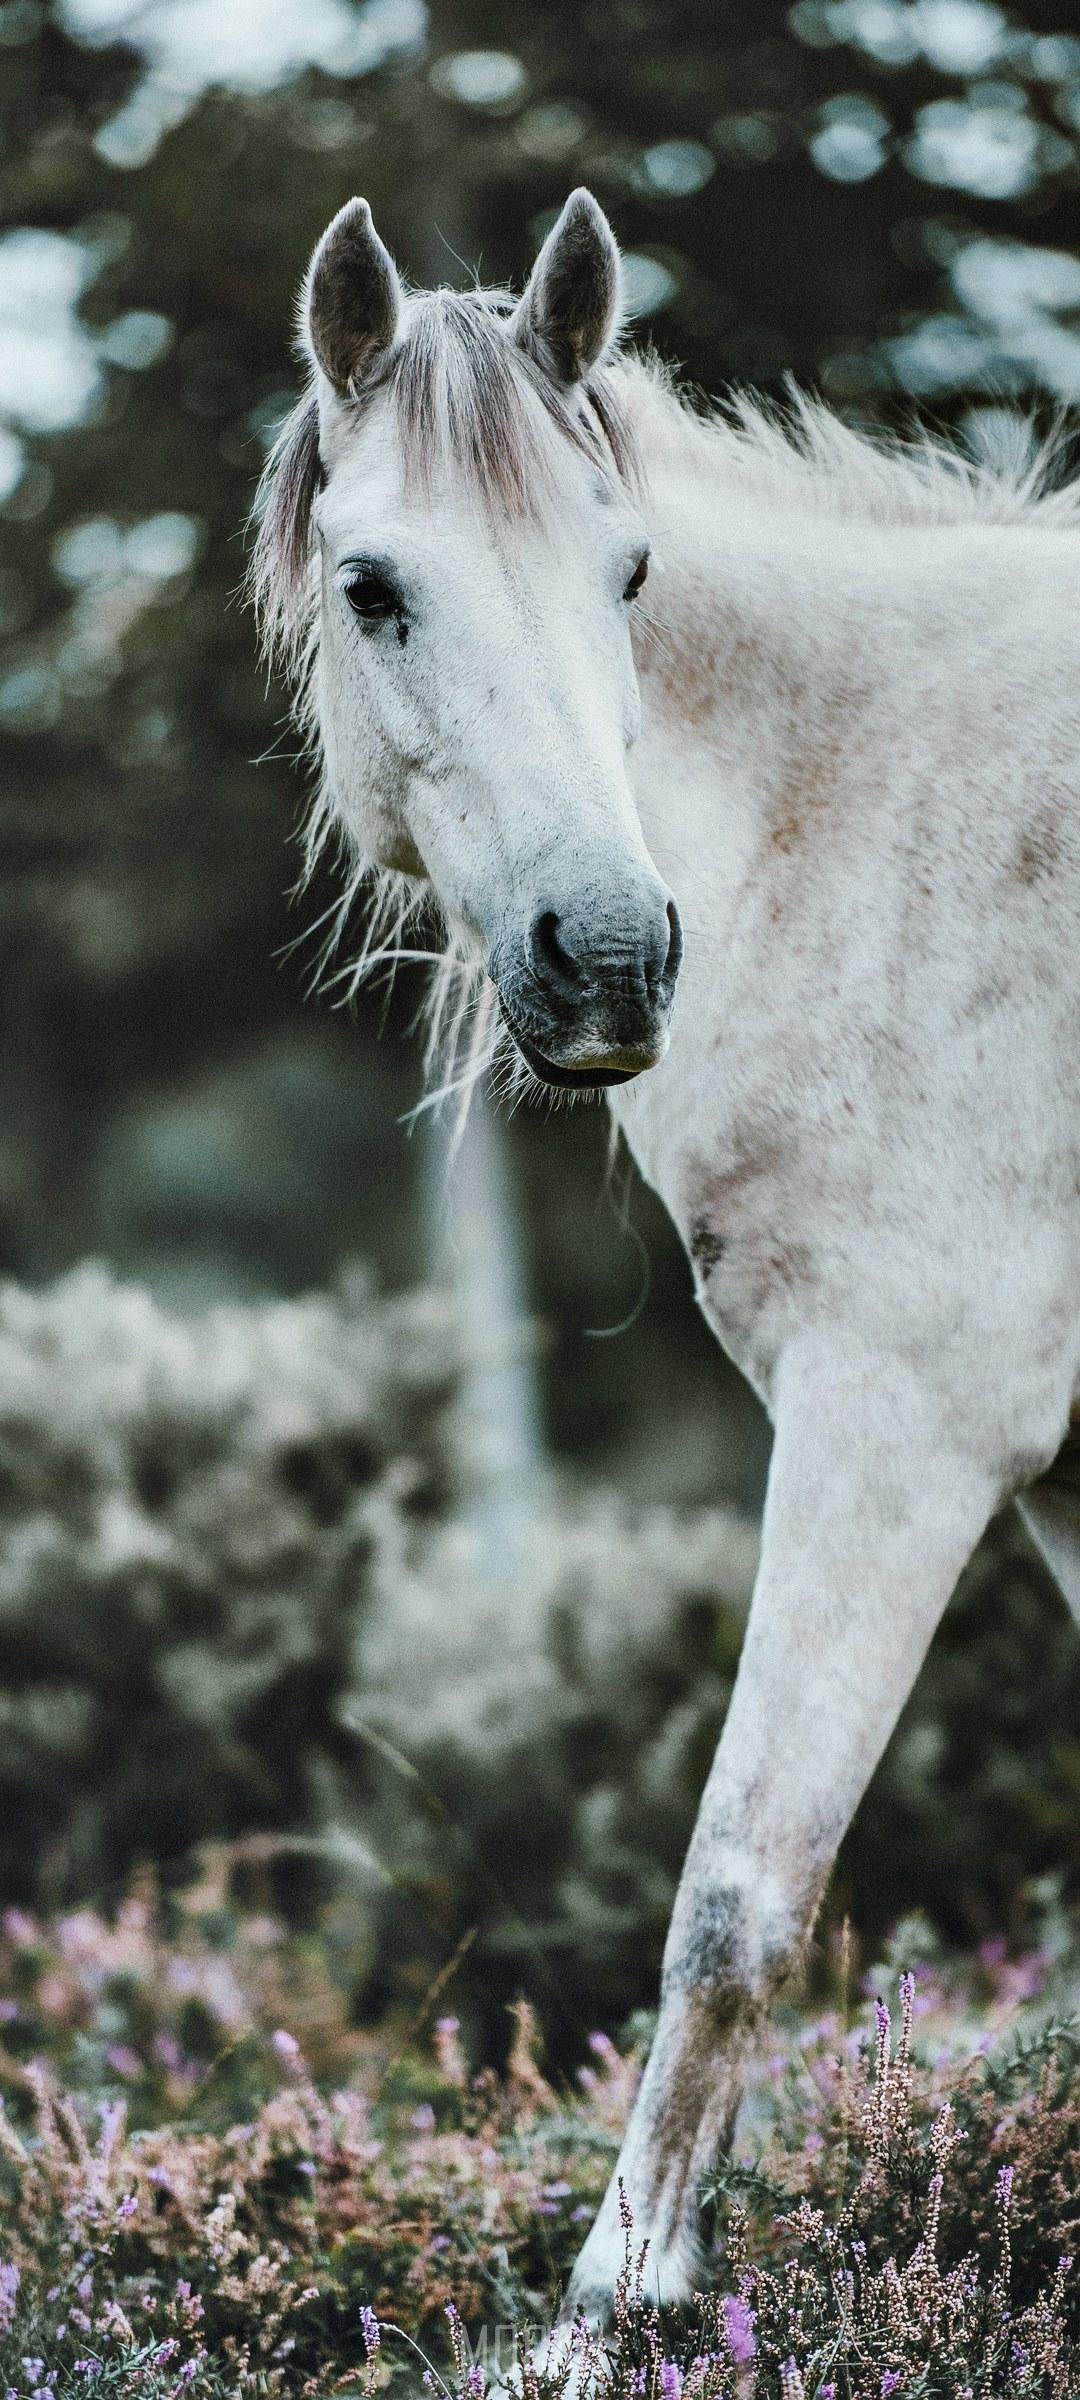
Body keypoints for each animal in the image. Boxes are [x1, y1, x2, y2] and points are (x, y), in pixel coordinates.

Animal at [251, 186, 1080, 2330]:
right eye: (375, 588)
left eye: (629, 573)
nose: (612, 955)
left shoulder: (901, 1424)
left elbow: (735, 1894)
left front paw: (608, 2313)